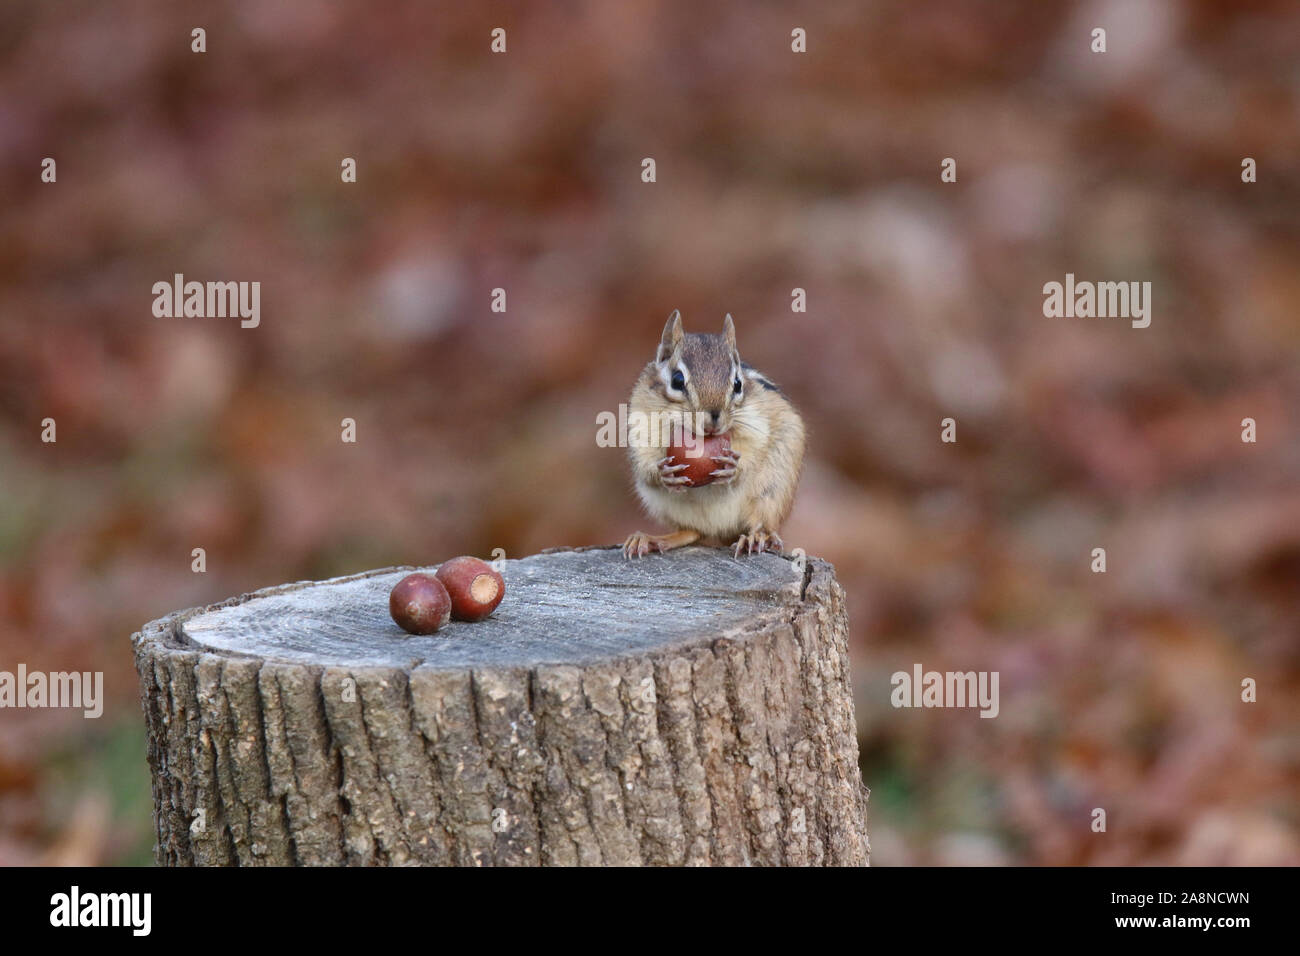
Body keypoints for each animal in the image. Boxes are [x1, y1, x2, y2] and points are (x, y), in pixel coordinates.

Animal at [622, 310, 806, 558]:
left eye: (737, 384)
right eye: (677, 380)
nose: (713, 420)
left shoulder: (758, 422)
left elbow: (754, 448)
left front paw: (733, 467)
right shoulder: (640, 424)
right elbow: (644, 460)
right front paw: (663, 473)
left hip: (773, 489)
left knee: (760, 522)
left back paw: (757, 538)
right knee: (692, 533)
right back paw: (651, 539)